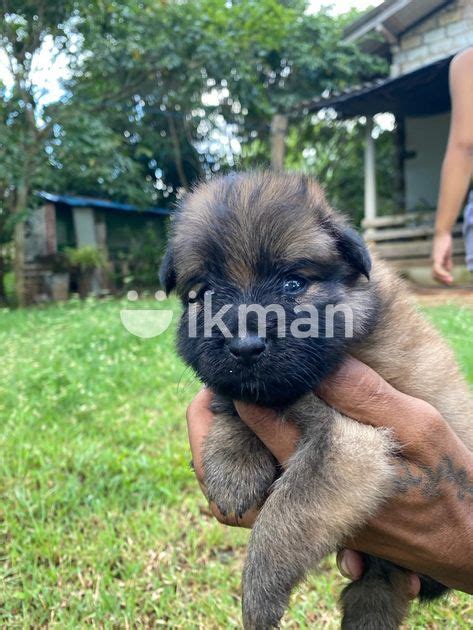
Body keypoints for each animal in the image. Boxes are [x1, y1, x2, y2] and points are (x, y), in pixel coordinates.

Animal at [159, 173, 472, 630]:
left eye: (293, 283)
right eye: (205, 292)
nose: (245, 345)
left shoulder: (347, 442)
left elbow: (287, 513)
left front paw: (258, 594)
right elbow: (233, 405)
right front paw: (231, 464)